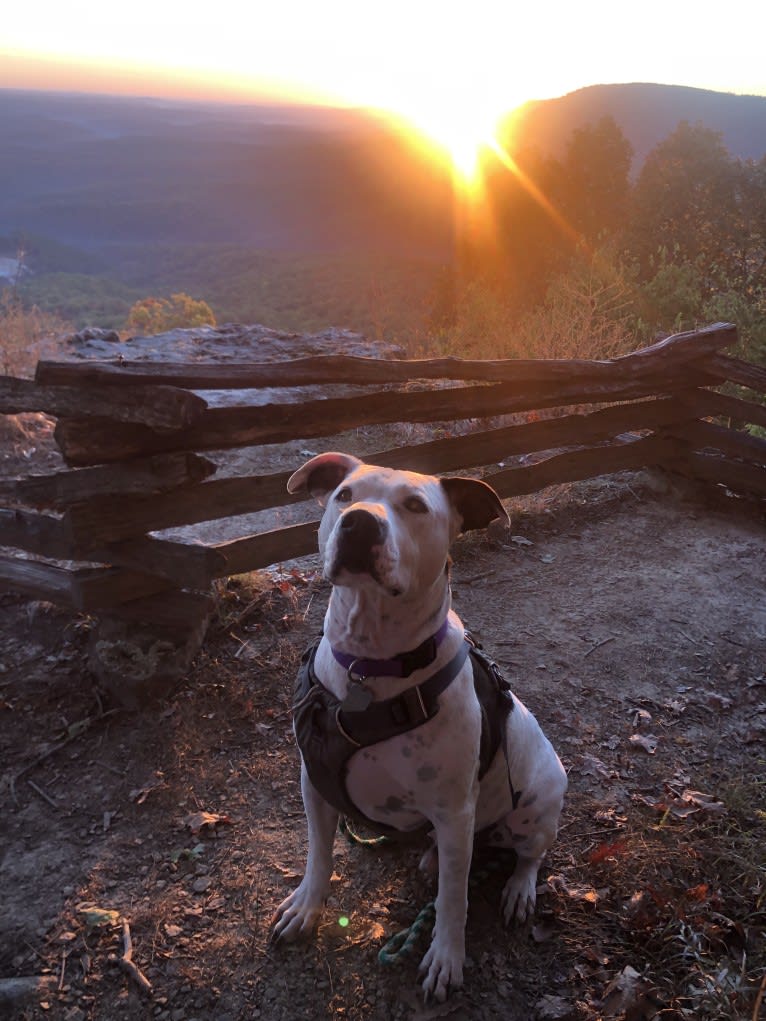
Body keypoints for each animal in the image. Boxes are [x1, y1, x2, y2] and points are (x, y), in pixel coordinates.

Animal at [273, 453, 567, 996]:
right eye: (344, 495)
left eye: (414, 506)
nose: (359, 521)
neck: (371, 664)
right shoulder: (315, 784)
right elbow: (319, 855)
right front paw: (307, 907)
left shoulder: (453, 811)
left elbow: (455, 898)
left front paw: (446, 956)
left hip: (537, 805)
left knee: (529, 855)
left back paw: (518, 889)